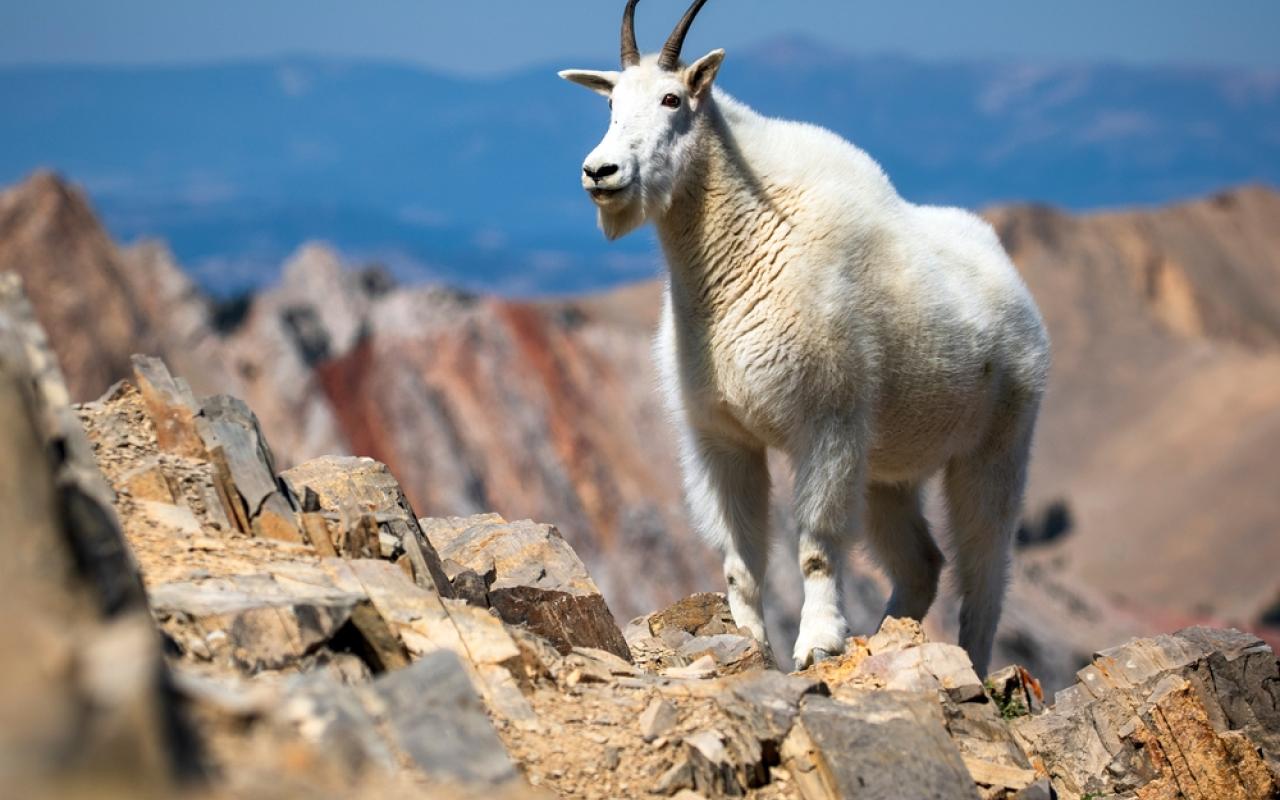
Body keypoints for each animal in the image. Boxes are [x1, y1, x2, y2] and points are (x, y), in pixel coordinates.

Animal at [560, 0, 1050, 675]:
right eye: (610, 103)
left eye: (671, 99)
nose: (600, 173)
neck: (738, 253)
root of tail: (1009, 274)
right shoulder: (722, 435)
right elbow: (739, 558)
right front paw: (750, 644)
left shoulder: (826, 424)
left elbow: (816, 542)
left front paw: (817, 644)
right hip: (889, 468)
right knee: (923, 562)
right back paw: (889, 632)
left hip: (997, 446)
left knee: (986, 567)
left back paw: (972, 661)